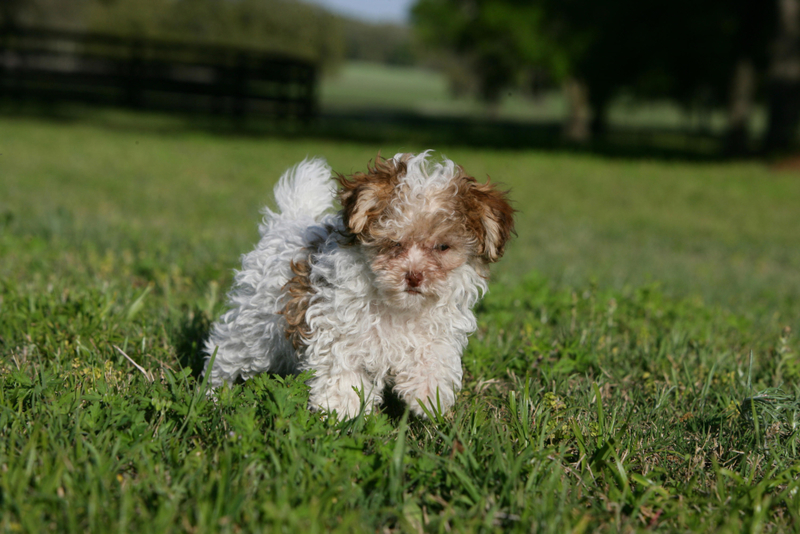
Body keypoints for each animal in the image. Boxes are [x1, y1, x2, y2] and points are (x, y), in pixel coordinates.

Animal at [203, 153, 516, 420]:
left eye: (443, 247)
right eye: (394, 243)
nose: (414, 276)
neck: (397, 306)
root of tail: (287, 223)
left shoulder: (436, 329)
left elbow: (432, 355)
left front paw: (429, 395)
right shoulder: (336, 328)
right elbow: (342, 369)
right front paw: (341, 412)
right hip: (255, 327)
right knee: (227, 349)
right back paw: (213, 391)